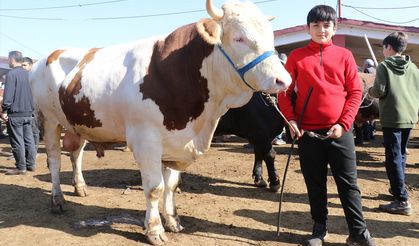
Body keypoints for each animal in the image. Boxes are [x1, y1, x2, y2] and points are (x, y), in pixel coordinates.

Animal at [29, 0, 292, 244]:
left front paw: (173, 221)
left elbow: (171, 185)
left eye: (270, 36)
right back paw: (57, 200)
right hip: (49, 120)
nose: (284, 80)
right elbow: (155, 188)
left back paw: (80, 187)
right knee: (54, 159)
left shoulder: (176, 141)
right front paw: (155, 230)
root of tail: (46, 57)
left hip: (80, 123)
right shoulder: (146, 141)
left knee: (76, 154)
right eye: (239, 38)